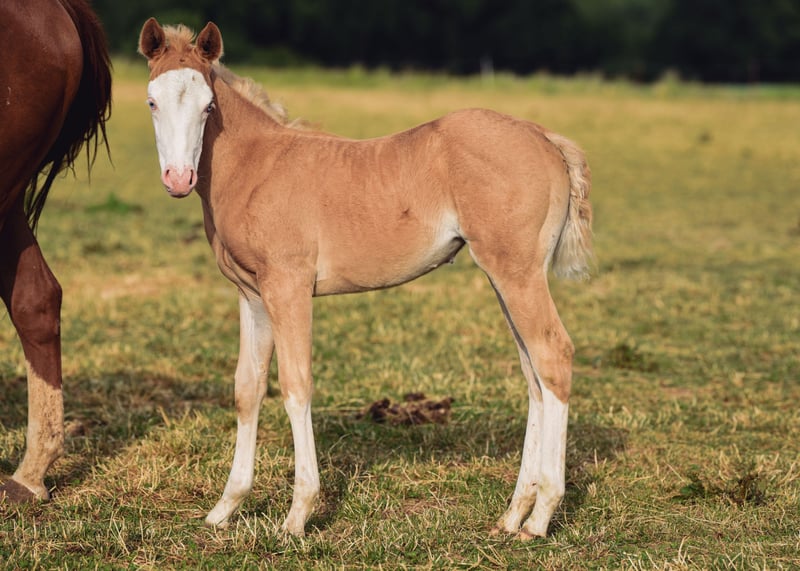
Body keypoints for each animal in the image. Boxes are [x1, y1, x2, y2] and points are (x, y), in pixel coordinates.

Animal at [138, 18, 592, 539]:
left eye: (208, 105)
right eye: (151, 101)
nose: (179, 179)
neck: (256, 166)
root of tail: (545, 137)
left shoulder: (288, 287)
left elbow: (295, 385)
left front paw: (297, 515)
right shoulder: (251, 295)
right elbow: (247, 389)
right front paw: (224, 508)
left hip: (517, 273)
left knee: (553, 355)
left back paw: (540, 517)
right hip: (507, 277)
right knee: (533, 374)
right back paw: (514, 512)